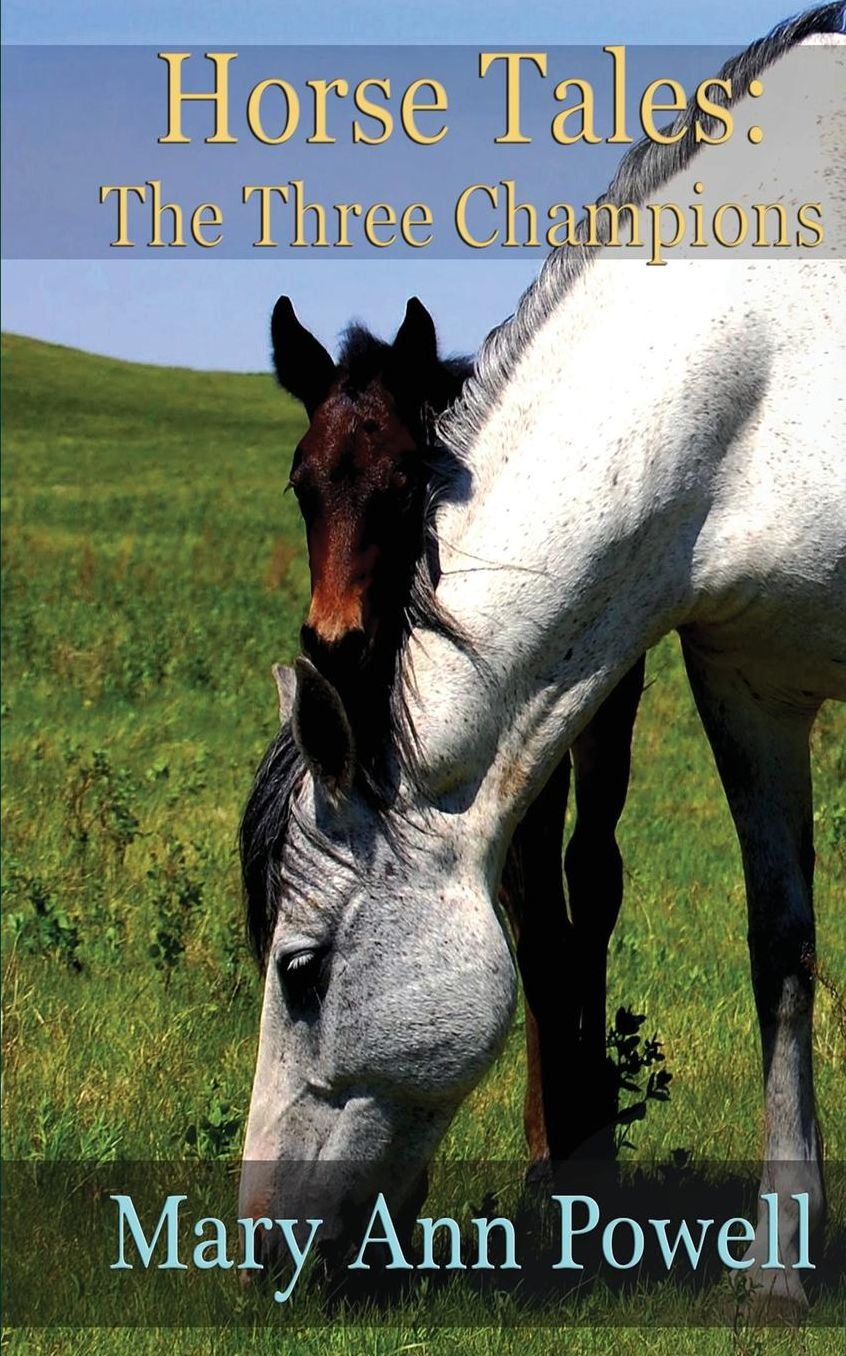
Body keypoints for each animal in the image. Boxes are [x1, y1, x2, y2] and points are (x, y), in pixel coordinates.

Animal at [267, 295, 645, 1161]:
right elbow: (527, 912)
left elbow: (580, 888)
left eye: (407, 484)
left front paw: (585, 1114)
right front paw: (550, 1127)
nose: (335, 642)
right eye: (301, 485)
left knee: (590, 875)